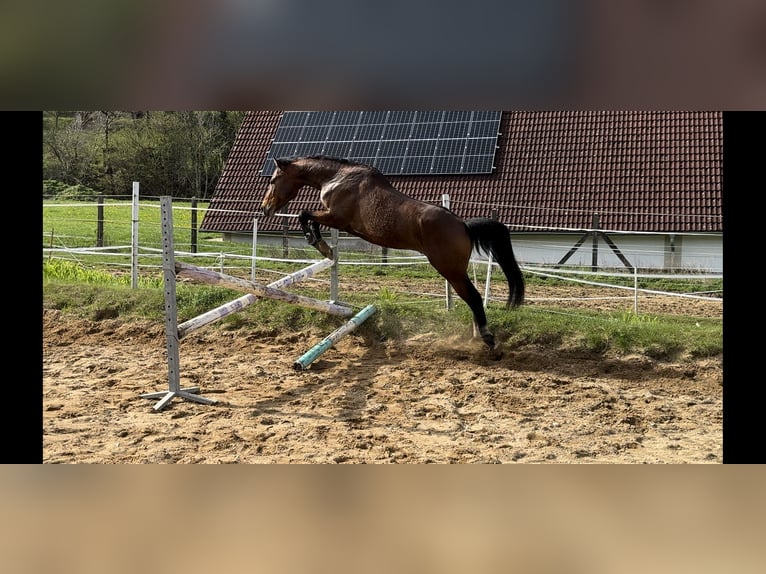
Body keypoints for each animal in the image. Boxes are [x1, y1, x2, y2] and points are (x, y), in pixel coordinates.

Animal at [260, 155, 524, 352]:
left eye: (273, 180)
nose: (265, 209)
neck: (338, 177)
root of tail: (464, 226)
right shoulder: (337, 221)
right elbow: (310, 218)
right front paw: (321, 244)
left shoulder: (336, 217)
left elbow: (304, 214)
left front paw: (318, 242)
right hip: (454, 271)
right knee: (471, 299)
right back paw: (477, 335)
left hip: (450, 270)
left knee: (475, 297)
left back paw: (487, 338)